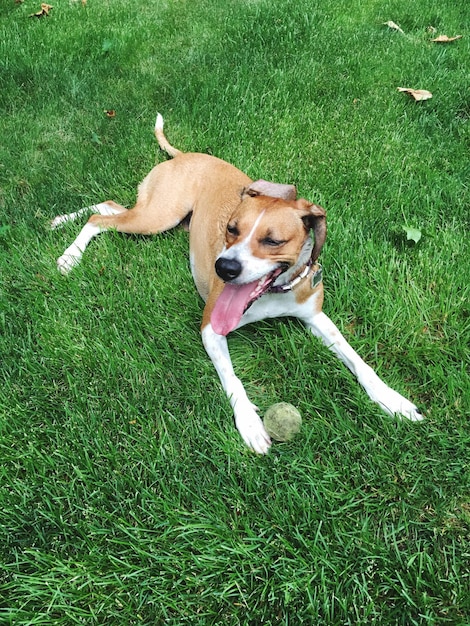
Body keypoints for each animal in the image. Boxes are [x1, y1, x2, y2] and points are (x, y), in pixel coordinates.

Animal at [51, 113, 422, 454]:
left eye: (273, 241)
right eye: (231, 228)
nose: (224, 268)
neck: (273, 294)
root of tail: (186, 155)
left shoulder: (317, 318)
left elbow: (359, 361)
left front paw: (392, 399)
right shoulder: (211, 328)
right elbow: (233, 380)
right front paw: (250, 422)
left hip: (153, 215)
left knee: (108, 207)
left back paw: (60, 220)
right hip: (157, 217)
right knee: (99, 218)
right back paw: (70, 255)